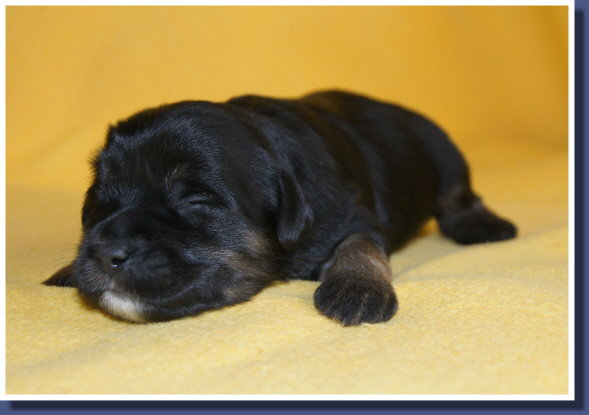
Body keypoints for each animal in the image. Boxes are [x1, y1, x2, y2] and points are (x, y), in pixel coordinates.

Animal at [44, 90, 517, 325]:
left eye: (195, 199)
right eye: (100, 196)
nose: (105, 253)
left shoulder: (354, 216)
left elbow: (360, 246)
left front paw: (357, 289)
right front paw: (70, 269)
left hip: (443, 153)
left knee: (459, 198)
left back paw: (483, 226)